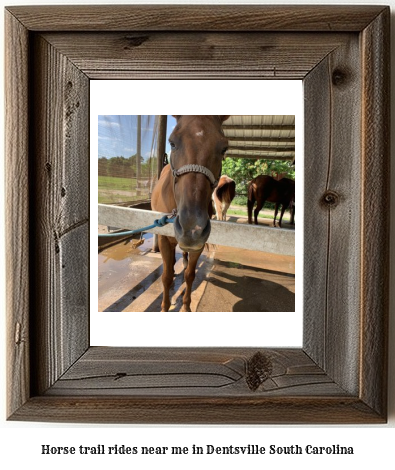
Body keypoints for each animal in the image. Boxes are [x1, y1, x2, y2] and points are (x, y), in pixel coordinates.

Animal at [152, 114, 232, 312]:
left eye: (224, 148)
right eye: (172, 143)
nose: (192, 229)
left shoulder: (199, 244)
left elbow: (190, 275)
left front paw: (186, 306)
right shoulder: (164, 239)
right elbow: (166, 276)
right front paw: (165, 306)